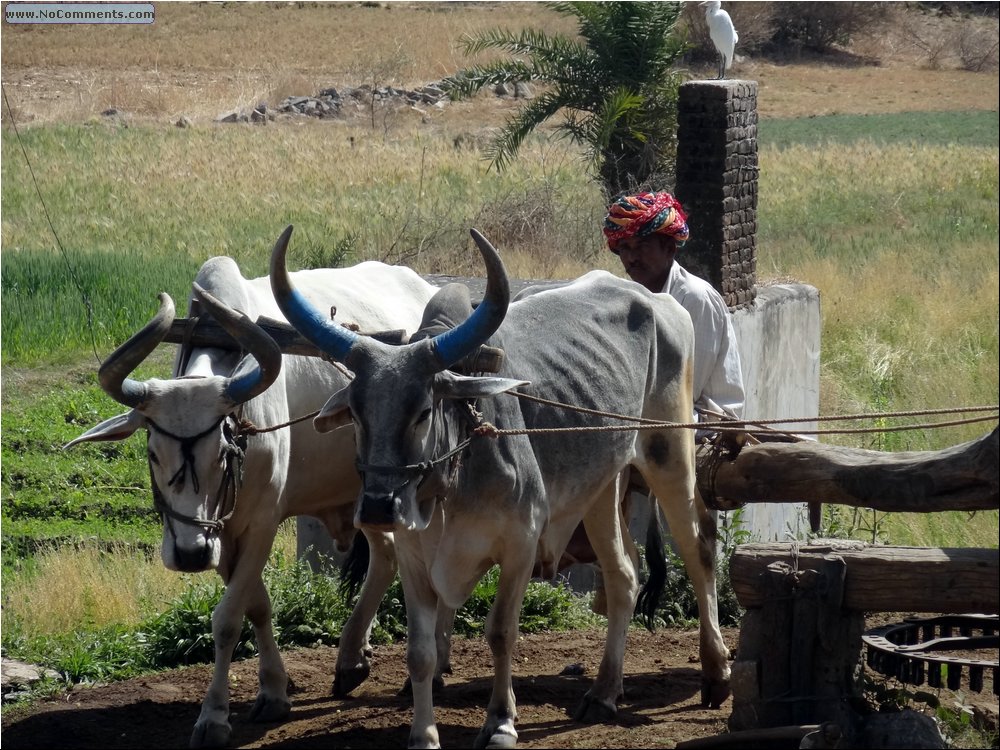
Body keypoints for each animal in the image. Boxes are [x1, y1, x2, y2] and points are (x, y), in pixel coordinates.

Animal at [63, 256, 438, 748]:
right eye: (152, 451)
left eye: (223, 451)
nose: (189, 555)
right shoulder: (222, 533)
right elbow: (255, 605)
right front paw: (274, 691)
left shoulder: (262, 521)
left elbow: (226, 619)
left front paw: (214, 717)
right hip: (366, 496)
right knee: (386, 556)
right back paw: (352, 659)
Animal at [270, 226, 732, 748]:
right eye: (356, 411)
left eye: (423, 410)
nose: (378, 508)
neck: (450, 483)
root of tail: (656, 299)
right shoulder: (414, 557)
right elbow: (420, 652)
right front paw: (423, 733)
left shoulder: (520, 544)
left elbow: (500, 632)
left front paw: (500, 722)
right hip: (600, 485)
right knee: (623, 577)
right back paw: (603, 693)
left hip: (669, 452)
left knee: (699, 550)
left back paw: (716, 672)